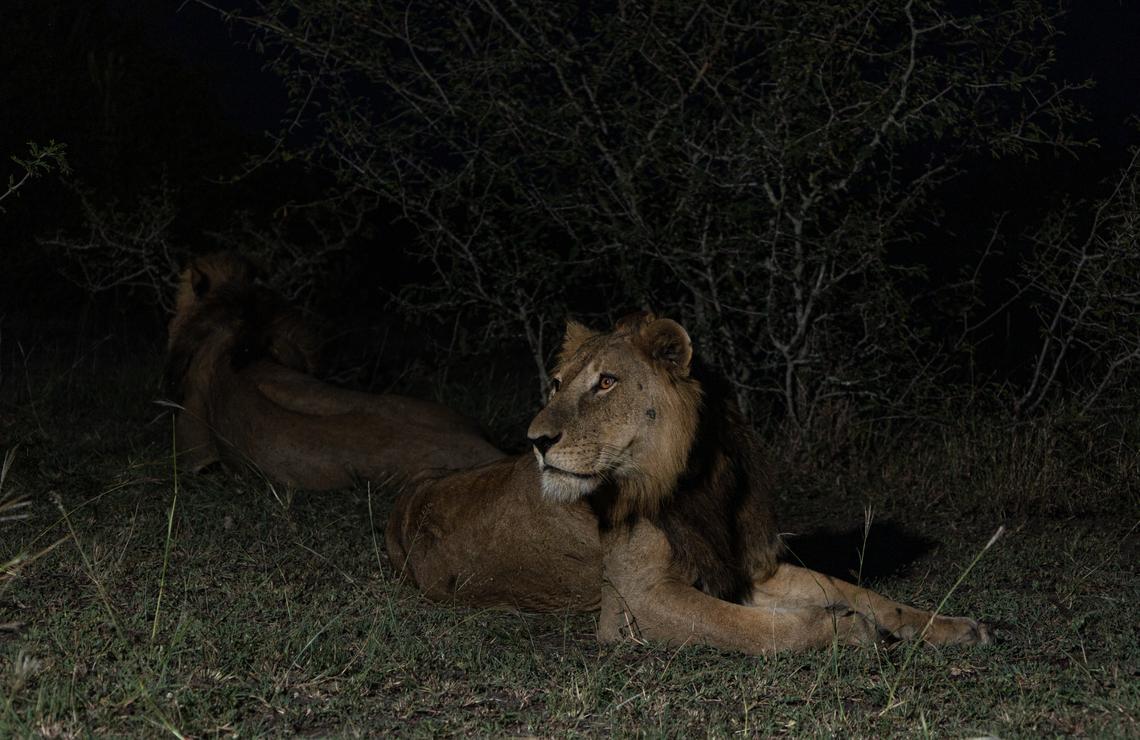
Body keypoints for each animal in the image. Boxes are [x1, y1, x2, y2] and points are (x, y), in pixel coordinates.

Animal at [388, 312, 991, 652]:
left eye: (605, 383)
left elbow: (864, 592)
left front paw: (953, 626)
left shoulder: (746, 567)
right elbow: (746, 628)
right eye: (556, 383)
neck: (697, 482)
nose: (535, 441)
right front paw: (844, 630)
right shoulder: (635, 603)